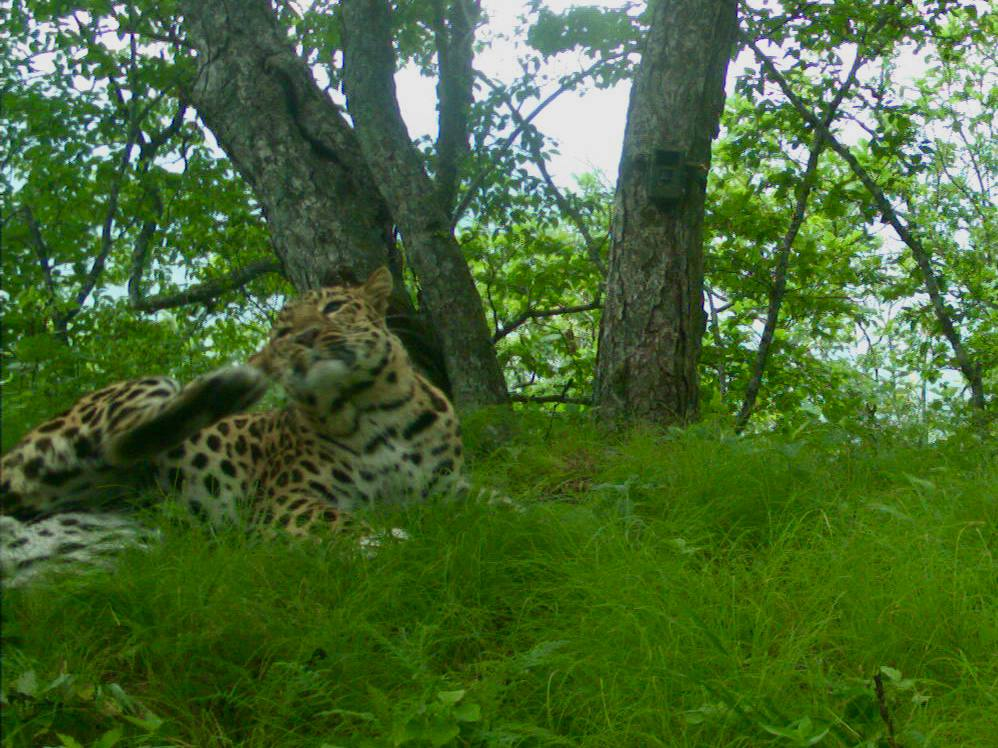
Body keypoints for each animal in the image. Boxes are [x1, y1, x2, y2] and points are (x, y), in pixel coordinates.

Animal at [0, 266, 468, 588]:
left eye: (334, 307)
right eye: (284, 330)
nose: (304, 337)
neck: (377, 411)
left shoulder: (451, 491)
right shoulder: (282, 502)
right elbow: (335, 519)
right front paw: (390, 540)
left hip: (118, 543)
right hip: (127, 400)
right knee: (112, 443)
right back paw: (229, 385)